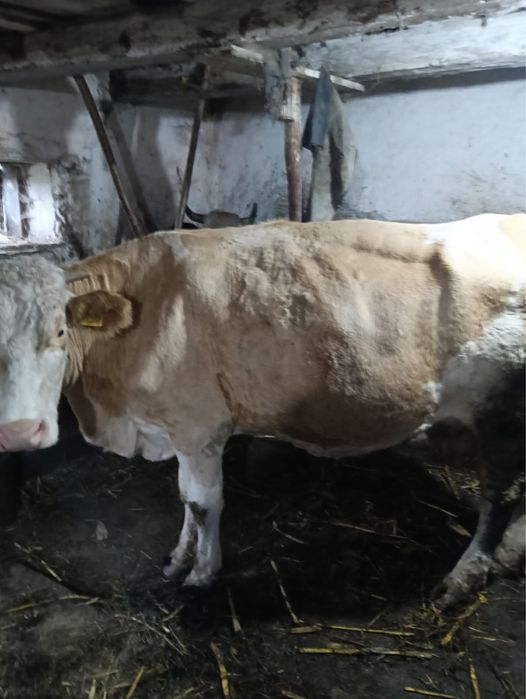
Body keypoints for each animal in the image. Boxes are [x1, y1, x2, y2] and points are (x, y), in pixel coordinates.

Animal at [0, 213, 524, 609]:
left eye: (60, 332)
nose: (21, 432)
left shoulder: (200, 426)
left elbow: (202, 502)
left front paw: (202, 573)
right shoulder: (176, 429)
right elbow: (184, 497)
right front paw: (178, 558)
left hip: (503, 415)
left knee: (499, 498)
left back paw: (463, 577)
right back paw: (512, 554)